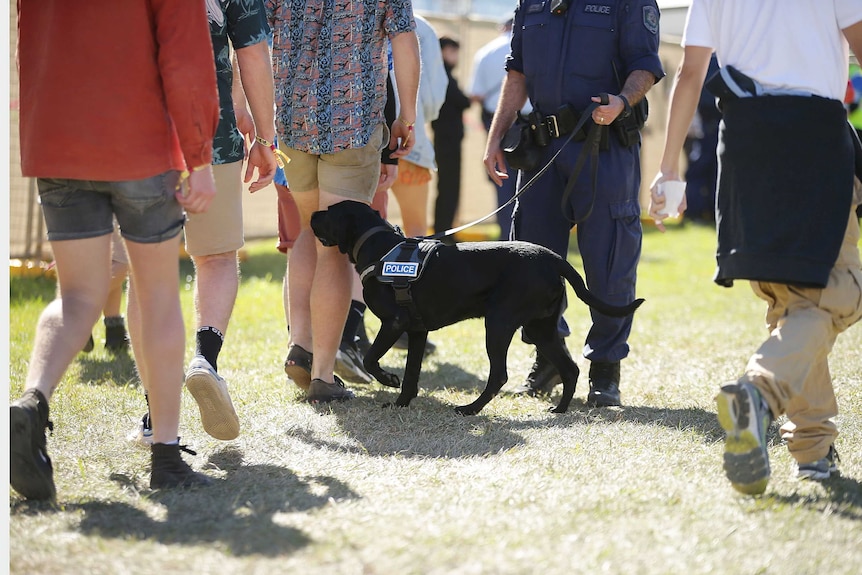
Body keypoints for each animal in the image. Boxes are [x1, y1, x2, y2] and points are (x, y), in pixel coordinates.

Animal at [310, 201, 640, 414]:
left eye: (329, 212)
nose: (312, 212)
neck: (380, 247)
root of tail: (553, 258)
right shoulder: (417, 330)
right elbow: (412, 375)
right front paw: (400, 403)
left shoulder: (394, 321)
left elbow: (371, 358)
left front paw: (388, 380)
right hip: (540, 328)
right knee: (569, 369)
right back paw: (559, 410)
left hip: (498, 324)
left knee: (499, 376)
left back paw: (470, 409)